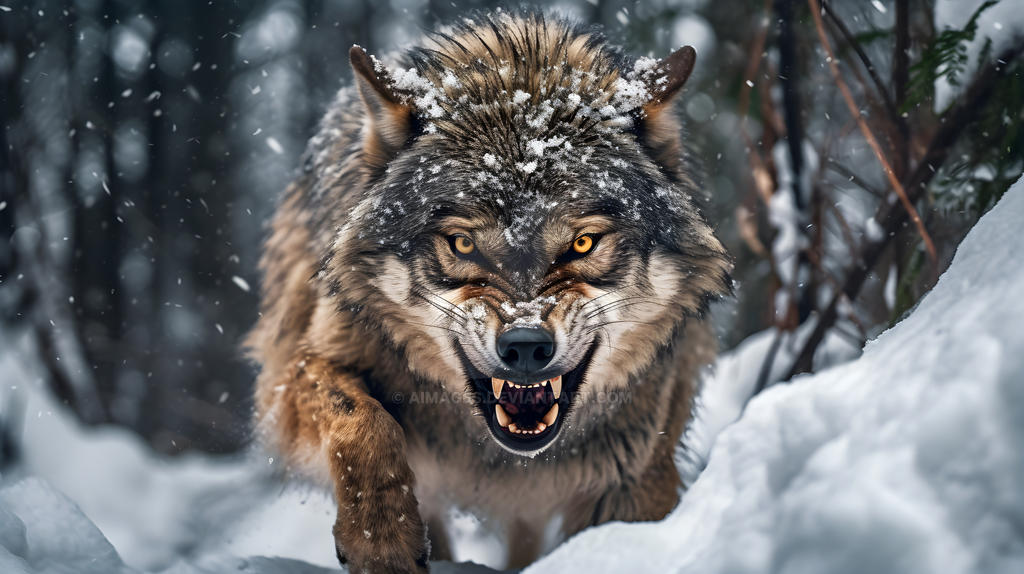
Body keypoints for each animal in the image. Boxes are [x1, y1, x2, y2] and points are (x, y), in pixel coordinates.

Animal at [245, 11, 731, 573]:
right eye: (463, 243)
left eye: (583, 243)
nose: (525, 347)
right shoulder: (296, 370)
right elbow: (363, 420)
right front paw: (380, 540)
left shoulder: (637, 474)